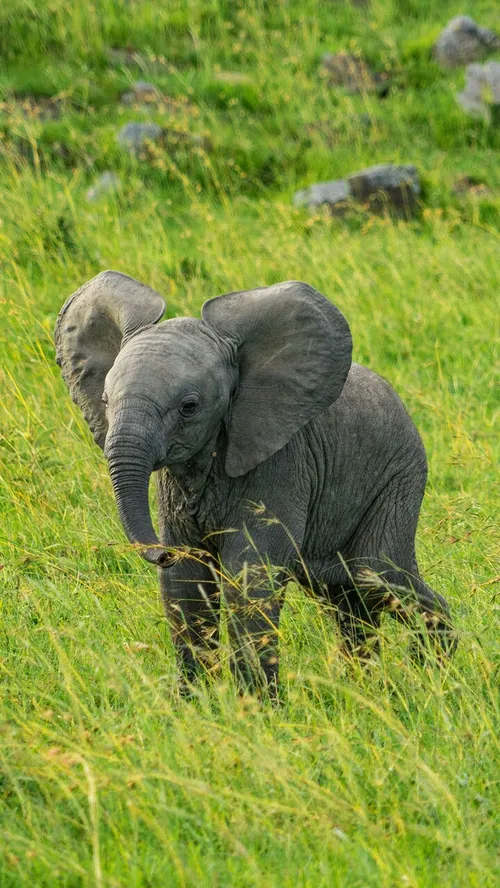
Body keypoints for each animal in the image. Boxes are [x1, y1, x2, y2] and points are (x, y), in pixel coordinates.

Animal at [55, 274, 458, 692]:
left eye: (189, 407)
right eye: (104, 400)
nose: (161, 553)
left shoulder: (282, 464)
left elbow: (248, 576)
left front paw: (256, 705)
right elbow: (186, 583)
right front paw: (194, 701)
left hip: (399, 478)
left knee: (379, 575)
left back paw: (433, 676)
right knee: (349, 599)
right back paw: (366, 686)